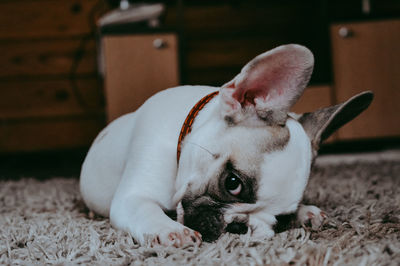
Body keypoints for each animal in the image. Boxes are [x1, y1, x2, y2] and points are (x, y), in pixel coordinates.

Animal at [79, 44, 374, 247]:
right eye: (233, 183)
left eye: (281, 219)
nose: (240, 226)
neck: (184, 135)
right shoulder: (133, 197)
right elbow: (146, 209)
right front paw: (171, 231)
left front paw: (304, 212)